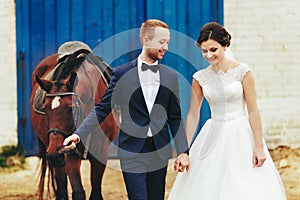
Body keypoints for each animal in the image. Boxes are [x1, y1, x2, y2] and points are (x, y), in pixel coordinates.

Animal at [29, 48, 119, 200]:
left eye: (71, 108)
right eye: (45, 107)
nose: (54, 152)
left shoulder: (100, 154)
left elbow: (95, 192)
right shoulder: (70, 154)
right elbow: (78, 191)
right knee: (61, 184)